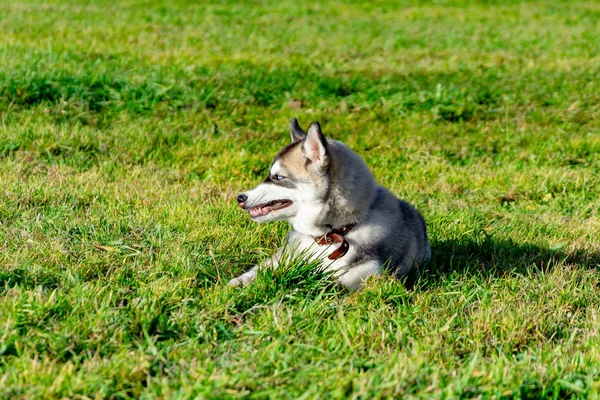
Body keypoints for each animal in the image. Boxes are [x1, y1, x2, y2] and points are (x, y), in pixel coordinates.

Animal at [230, 117, 432, 290]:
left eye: (278, 177)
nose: (240, 198)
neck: (332, 234)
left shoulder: (370, 279)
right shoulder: (285, 255)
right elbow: (260, 268)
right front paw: (237, 282)